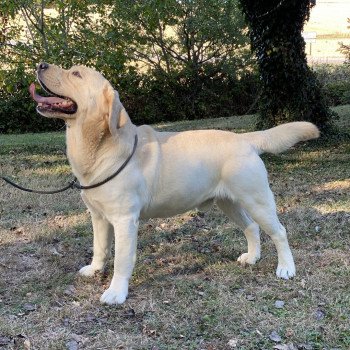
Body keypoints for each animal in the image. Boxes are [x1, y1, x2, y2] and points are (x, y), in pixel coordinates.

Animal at [30, 62, 320, 304]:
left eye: (76, 74)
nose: (41, 64)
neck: (102, 149)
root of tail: (245, 138)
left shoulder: (125, 220)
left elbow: (122, 260)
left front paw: (116, 292)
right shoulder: (98, 216)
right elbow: (100, 248)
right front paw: (94, 269)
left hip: (256, 200)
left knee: (279, 231)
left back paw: (286, 268)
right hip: (229, 203)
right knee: (251, 228)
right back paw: (252, 257)